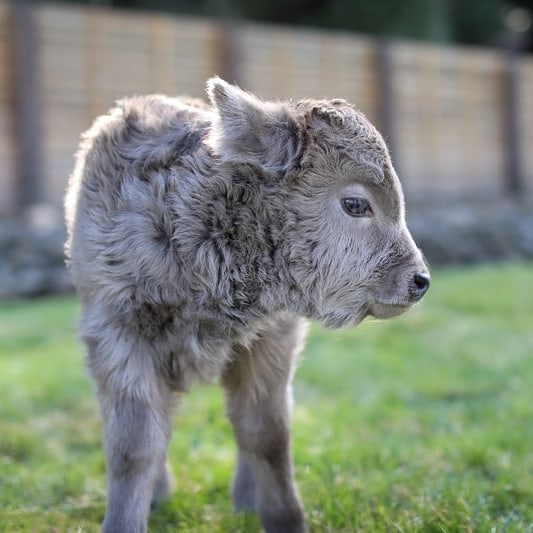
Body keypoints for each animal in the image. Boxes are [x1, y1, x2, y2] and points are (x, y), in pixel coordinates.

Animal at [64, 76, 428, 532]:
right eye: (355, 203)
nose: (419, 280)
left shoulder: (273, 337)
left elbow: (266, 434)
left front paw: (286, 520)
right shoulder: (119, 336)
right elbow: (133, 446)